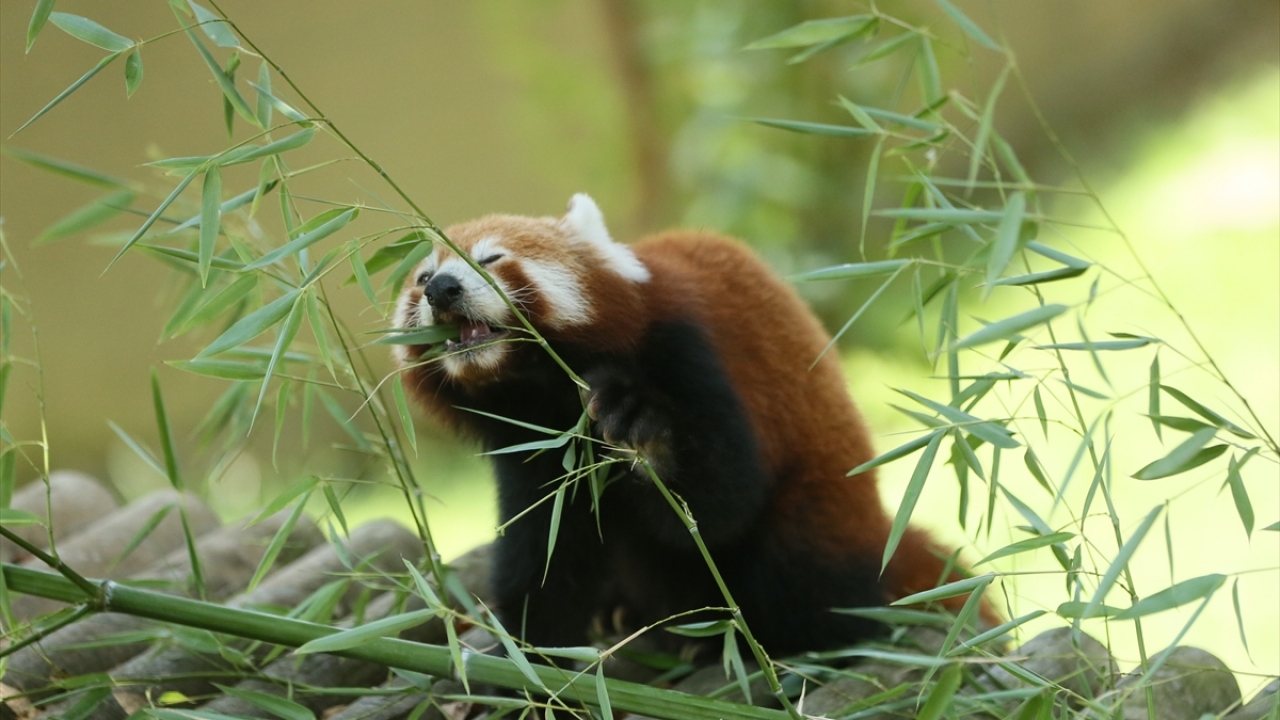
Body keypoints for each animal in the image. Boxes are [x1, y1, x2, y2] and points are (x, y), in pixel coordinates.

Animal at [393, 194, 983, 656]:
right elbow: (547, 547)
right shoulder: (530, 442)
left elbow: (720, 500)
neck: (542, 387)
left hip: (820, 512)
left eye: (489, 257)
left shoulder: (684, 347)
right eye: (421, 278)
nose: (442, 288)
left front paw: (646, 436)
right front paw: (525, 654)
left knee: (800, 574)